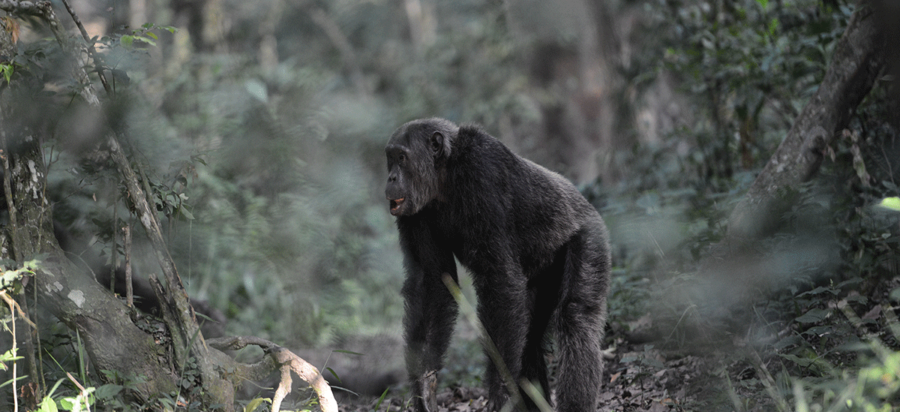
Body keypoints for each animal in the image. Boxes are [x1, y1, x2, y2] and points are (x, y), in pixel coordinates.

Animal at [384, 117, 608, 410]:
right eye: (389, 159)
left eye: (401, 157)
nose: (391, 177)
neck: (444, 178)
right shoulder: (416, 215)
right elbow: (430, 282)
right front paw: (423, 386)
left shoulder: (482, 173)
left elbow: (500, 278)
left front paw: (500, 393)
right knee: (530, 339)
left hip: (591, 238)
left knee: (576, 316)